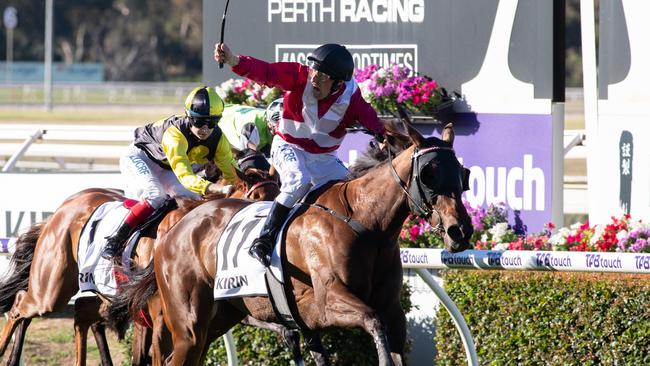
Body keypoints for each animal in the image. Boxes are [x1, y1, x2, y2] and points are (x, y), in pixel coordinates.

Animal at [0, 164, 276, 364]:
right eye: (257, 197)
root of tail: (62, 209)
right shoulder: (160, 321)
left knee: (81, 314)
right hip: (52, 287)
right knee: (20, 304)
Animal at [114, 121, 470, 364]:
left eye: (462, 173)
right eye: (429, 173)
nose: (460, 231)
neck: (366, 224)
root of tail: (173, 230)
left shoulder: (392, 310)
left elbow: (386, 329)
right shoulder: (327, 302)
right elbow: (373, 322)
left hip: (219, 318)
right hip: (186, 323)